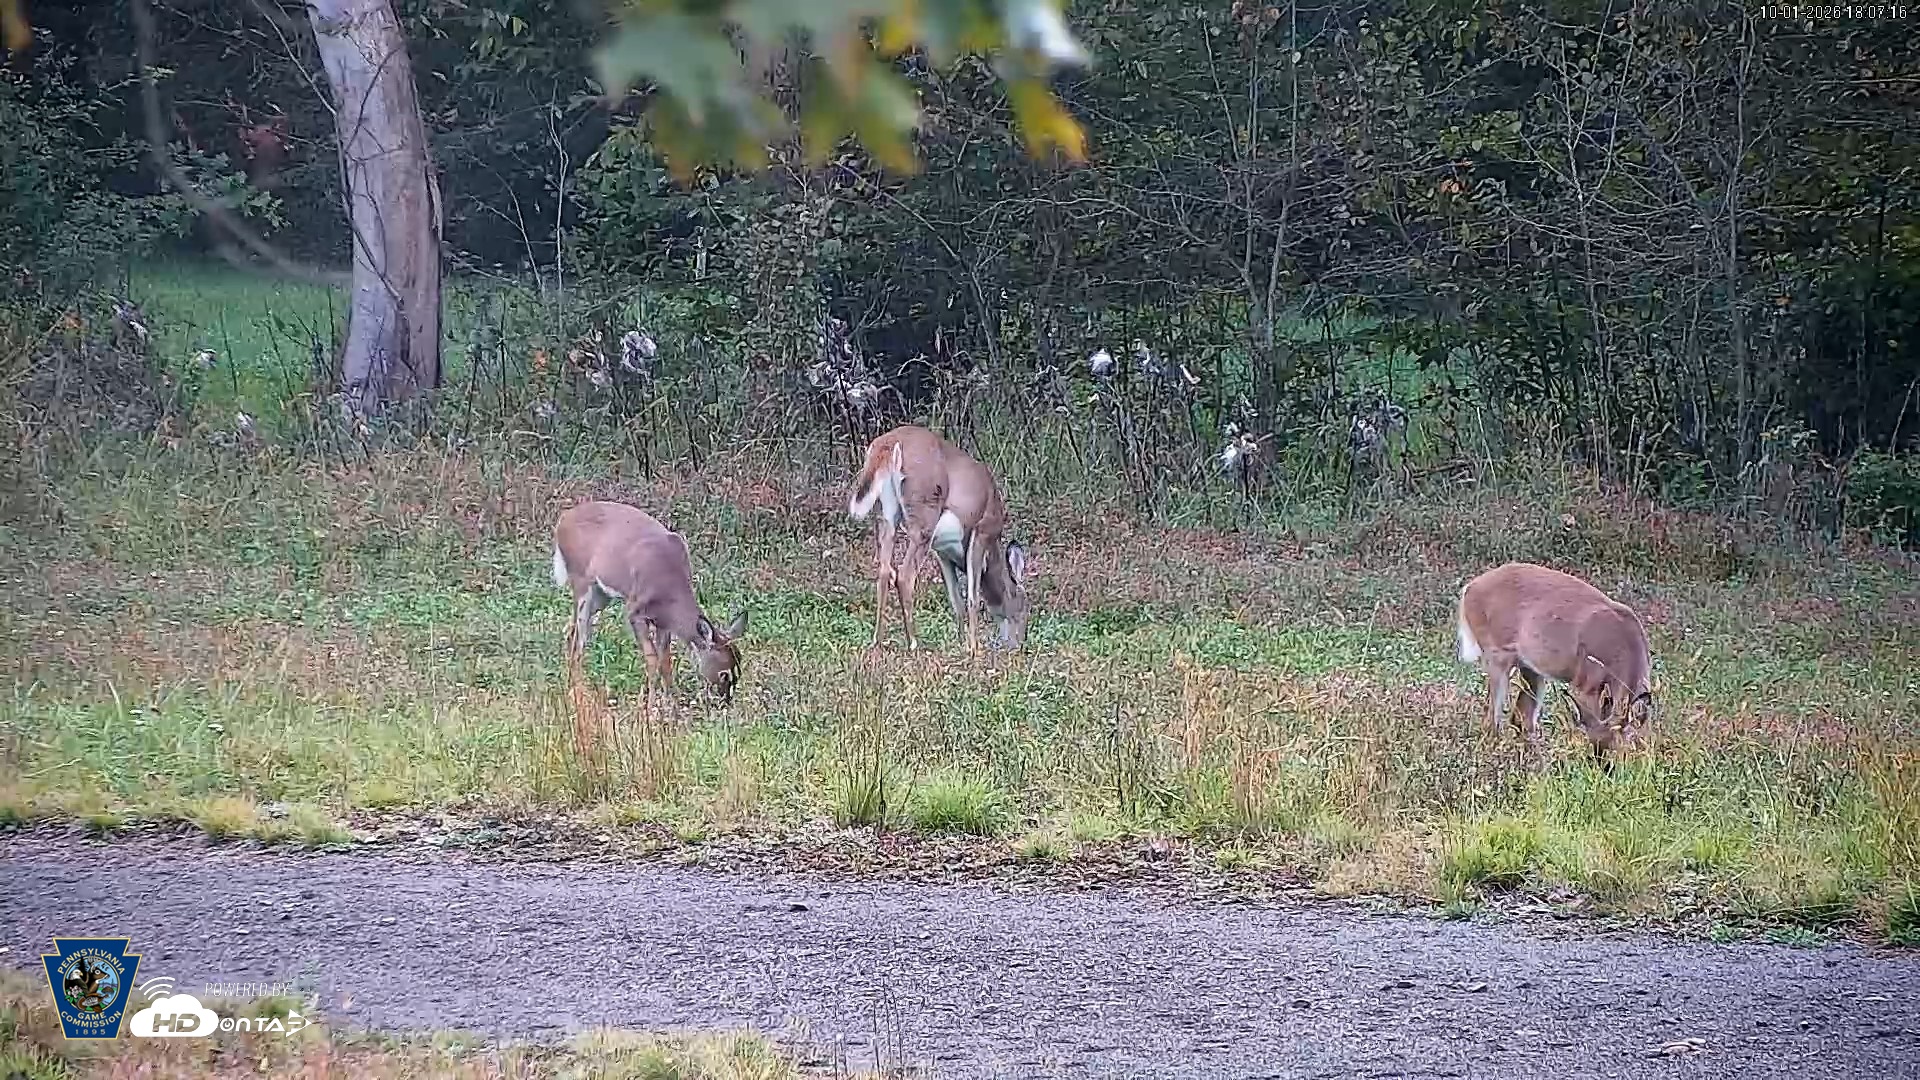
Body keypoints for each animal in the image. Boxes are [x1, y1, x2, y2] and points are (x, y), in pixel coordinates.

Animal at [551, 500, 747, 706]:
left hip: (601, 595)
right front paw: (649, 704)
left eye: (738, 669)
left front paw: (671, 701)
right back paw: (577, 692)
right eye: (724, 674)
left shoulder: (664, 622)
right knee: (578, 637)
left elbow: (665, 660)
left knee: (571, 631)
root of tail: (563, 519)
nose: (726, 700)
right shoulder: (634, 612)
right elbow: (652, 658)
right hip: (580, 581)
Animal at [847, 424, 1030, 653]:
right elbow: (972, 596)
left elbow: (956, 599)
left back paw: (877, 641)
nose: (1019, 644)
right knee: (905, 575)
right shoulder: (982, 531)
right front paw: (973, 648)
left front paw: (961, 642)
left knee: (884, 571)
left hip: (887, 513)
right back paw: (913, 642)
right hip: (924, 515)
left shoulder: (942, 551)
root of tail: (890, 443)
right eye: (1024, 608)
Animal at [1455, 561, 1656, 766]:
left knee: (1521, 717)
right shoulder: (1584, 683)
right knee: (1492, 718)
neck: (1624, 648)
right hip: (1497, 654)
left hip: (1530, 668)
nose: (1604, 766)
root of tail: (1468, 589)